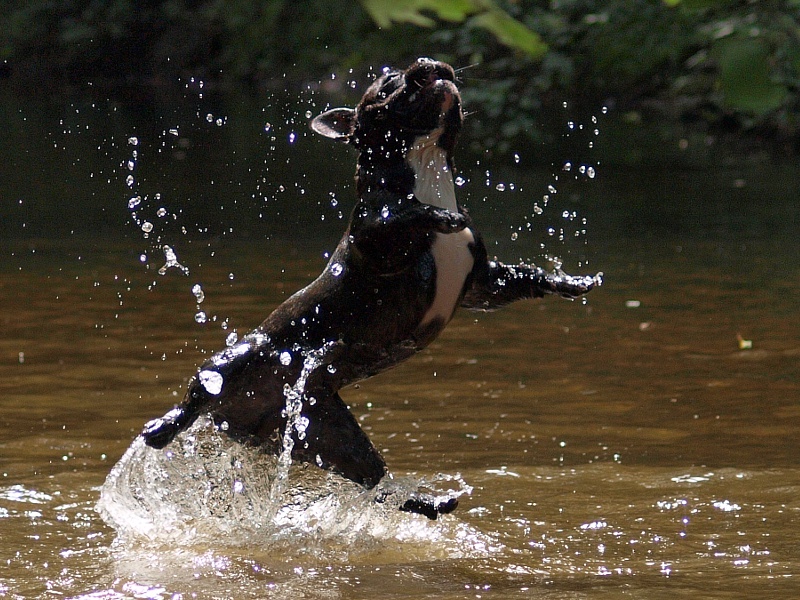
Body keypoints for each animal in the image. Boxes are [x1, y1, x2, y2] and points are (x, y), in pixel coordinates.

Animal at [141, 57, 596, 520]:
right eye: (388, 84)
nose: (427, 63)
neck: (426, 166)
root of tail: (239, 420)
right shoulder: (377, 243)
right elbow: (402, 217)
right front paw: (436, 216)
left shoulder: (482, 282)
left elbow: (522, 276)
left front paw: (568, 281)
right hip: (236, 359)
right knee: (196, 392)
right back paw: (162, 426)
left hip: (326, 432)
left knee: (373, 481)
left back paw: (430, 502)